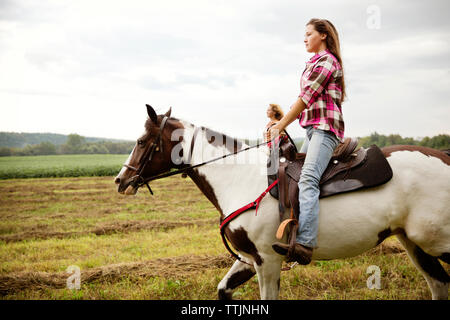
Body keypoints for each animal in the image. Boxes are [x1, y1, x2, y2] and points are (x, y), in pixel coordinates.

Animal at [115, 105, 450, 300]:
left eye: (142, 141)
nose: (120, 180)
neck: (238, 179)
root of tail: (444, 157)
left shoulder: (267, 259)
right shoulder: (248, 257)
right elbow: (223, 290)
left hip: (435, 241)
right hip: (413, 243)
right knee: (439, 284)